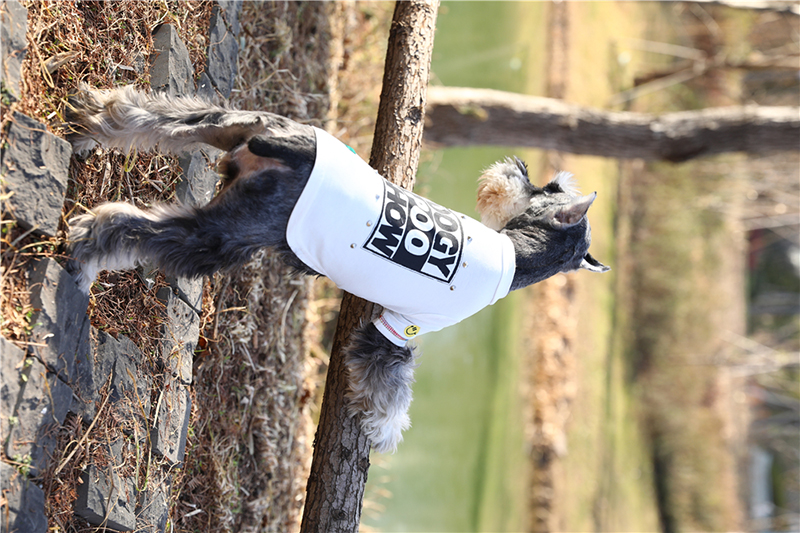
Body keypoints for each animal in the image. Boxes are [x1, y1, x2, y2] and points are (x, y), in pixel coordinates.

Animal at [65, 85, 609, 453]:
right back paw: (85, 253)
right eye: (550, 186)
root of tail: (295, 147)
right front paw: (385, 432)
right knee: (127, 229)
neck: (517, 259)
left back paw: (91, 121)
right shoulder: (395, 334)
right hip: (222, 237)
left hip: (223, 126)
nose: (516, 165)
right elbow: (391, 390)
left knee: (151, 115)